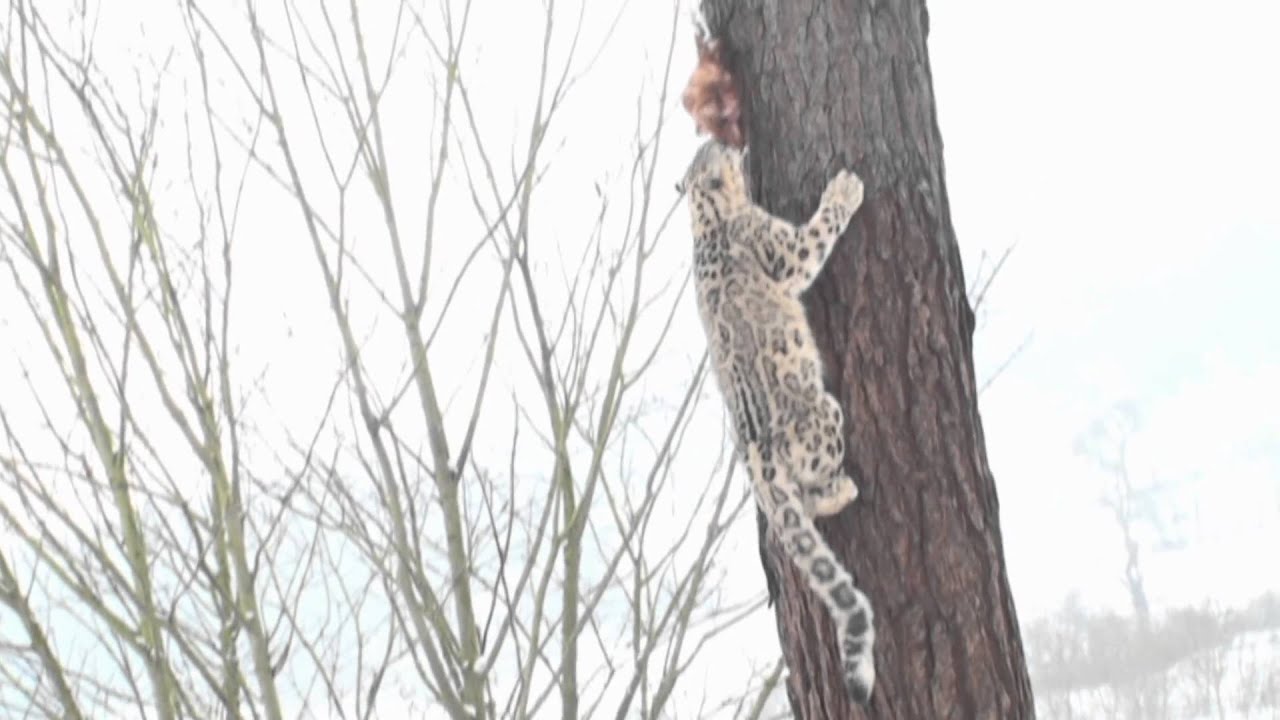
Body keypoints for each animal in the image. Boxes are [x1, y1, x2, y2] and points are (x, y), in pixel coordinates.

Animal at [679, 139, 876, 704]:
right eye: (718, 150)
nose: (736, 142)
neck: (707, 219)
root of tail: (756, 458)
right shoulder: (784, 250)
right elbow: (815, 237)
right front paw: (845, 189)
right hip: (824, 412)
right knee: (810, 495)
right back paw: (842, 489)